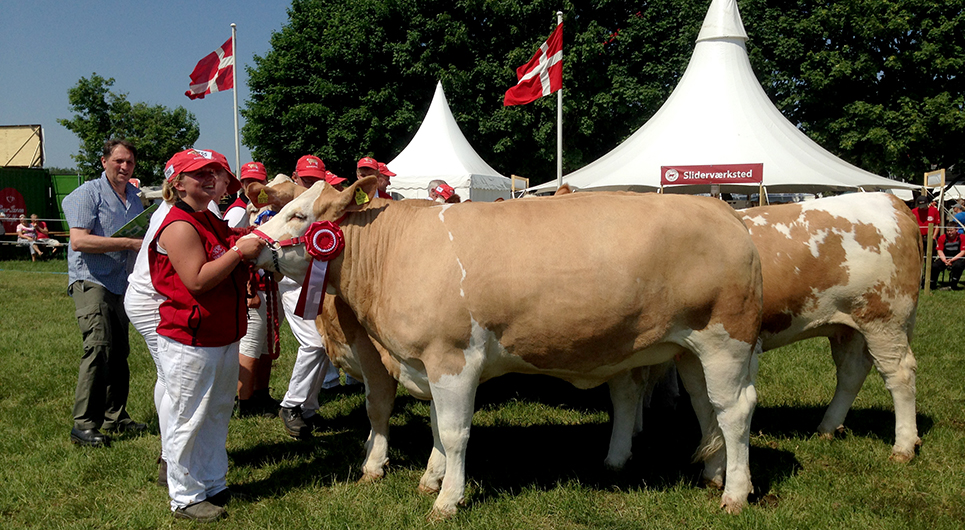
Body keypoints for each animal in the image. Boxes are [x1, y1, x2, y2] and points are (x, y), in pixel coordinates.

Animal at [245, 178, 764, 516]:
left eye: (299, 215)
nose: (249, 247)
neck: (393, 252)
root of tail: (727, 213)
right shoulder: (427, 362)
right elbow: (436, 425)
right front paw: (431, 479)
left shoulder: (453, 357)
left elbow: (454, 432)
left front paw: (447, 500)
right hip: (689, 349)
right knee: (707, 406)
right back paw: (711, 473)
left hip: (726, 340)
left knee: (735, 410)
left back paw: (735, 494)